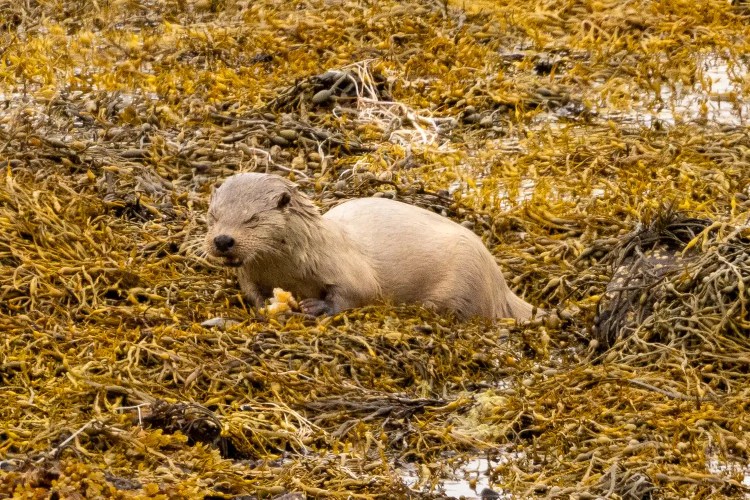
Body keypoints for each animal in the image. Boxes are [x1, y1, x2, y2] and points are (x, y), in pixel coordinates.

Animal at [205, 173, 534, 320]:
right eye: (214, 215)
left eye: (252, 218)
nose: (223, 240)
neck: (289, 271)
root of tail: (500, 285)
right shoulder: (250, 277)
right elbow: (254, 294)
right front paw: (268, 307)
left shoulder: (347, 269)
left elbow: (360, 292)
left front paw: (316, 307)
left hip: (467, 278)